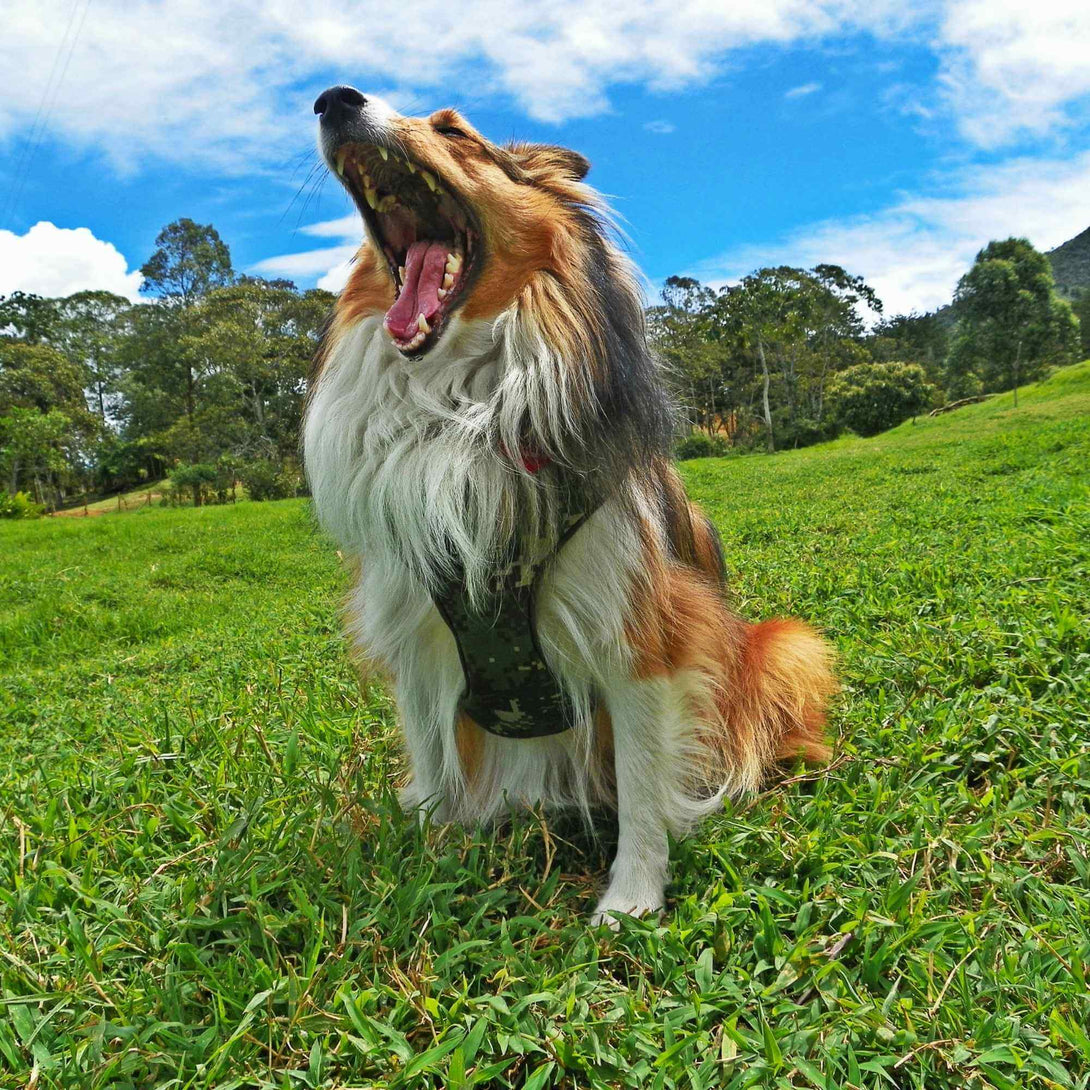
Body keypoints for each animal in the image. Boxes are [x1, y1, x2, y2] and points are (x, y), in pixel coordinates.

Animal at [303, 85, 828, 924]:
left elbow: (644, 791)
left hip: (787, 645)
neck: (462, 407)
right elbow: (437, 777)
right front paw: (431, 865)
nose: (335, 99)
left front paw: (631, 902)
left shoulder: (638, 638)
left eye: (457, 133)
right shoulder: (415, 643)